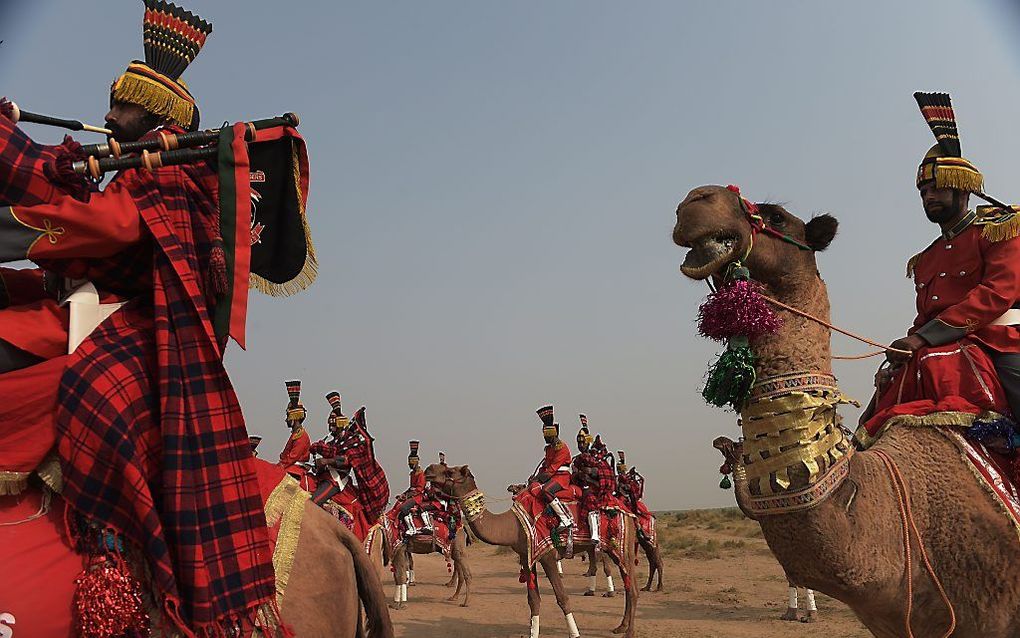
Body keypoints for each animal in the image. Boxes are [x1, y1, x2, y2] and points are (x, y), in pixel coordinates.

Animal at [428, 463, 636, 636]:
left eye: (449, 471)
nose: (429, 470)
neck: (512, 525)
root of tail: (628, 511)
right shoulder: (526, 556)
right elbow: (533, 600)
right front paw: (533, 632)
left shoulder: (547, 554)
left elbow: (562, 597)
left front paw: (575, 634)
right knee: (628, 586)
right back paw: (621, 626)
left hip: (621, 546)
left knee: (631, 587)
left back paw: (628, 632)